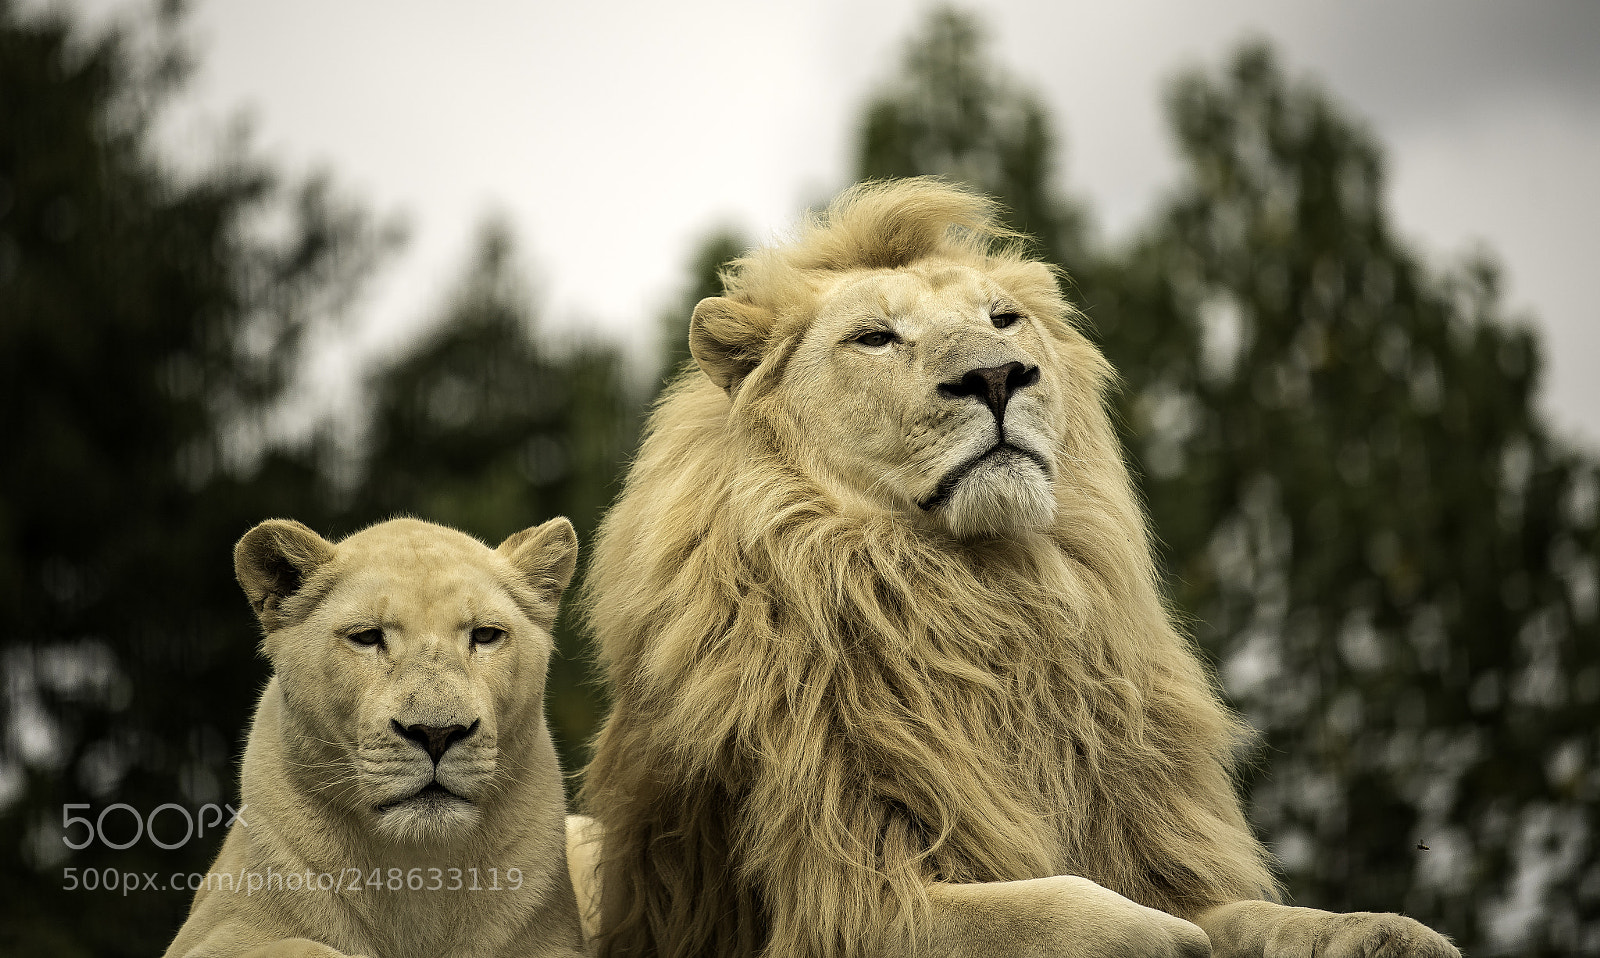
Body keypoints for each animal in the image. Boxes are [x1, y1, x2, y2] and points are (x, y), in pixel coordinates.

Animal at [164, 517, 587, 958]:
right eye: (367, 637)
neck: (418, 869)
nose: (436, 734)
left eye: (486, 635)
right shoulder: (209, 937)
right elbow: (305, 947)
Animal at [573, 179, 1458, 958]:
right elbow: (1080, 915)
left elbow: (1269, 918)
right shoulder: (848, 903)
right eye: (875, 338)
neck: (988, 593)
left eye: (1005, 320)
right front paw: (1170, 942)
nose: (998, 375)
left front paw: (1388, 933)